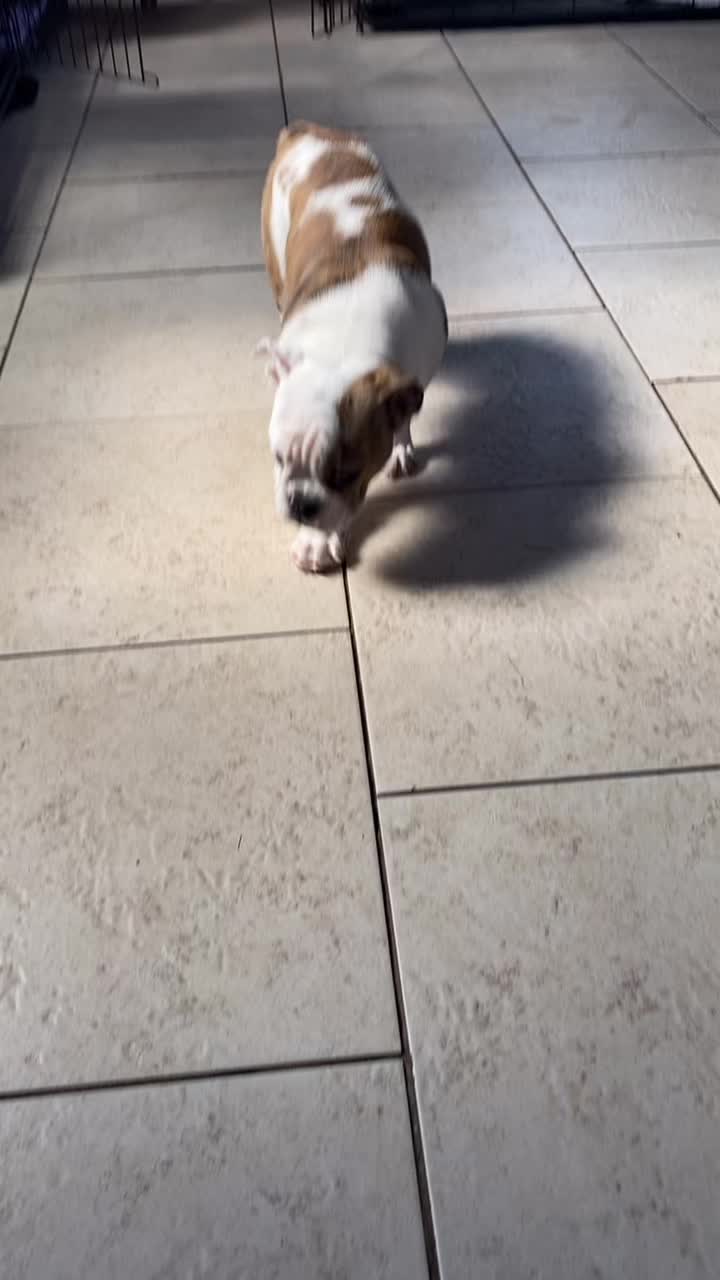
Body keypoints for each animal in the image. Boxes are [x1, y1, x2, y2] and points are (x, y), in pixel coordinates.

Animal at [259, 121, 448, 573]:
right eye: (278, 458)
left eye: (347, 473)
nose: (300, 503)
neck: (343, 347)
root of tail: (307, 130)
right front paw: (315, 540)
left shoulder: (414, 366)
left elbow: (405, 412)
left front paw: (401, 445)